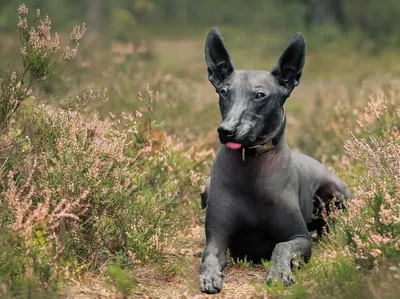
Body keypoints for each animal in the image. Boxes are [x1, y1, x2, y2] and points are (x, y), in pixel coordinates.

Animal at [200, 28, 350, 296]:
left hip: (336, 193)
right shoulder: (216, 239)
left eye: (260, 95)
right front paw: (210, 276)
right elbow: (209, 257)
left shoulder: (300, 238)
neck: (250, 166)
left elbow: (281, 247)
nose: (227, 130)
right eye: (224, 92)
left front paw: (279, 272)